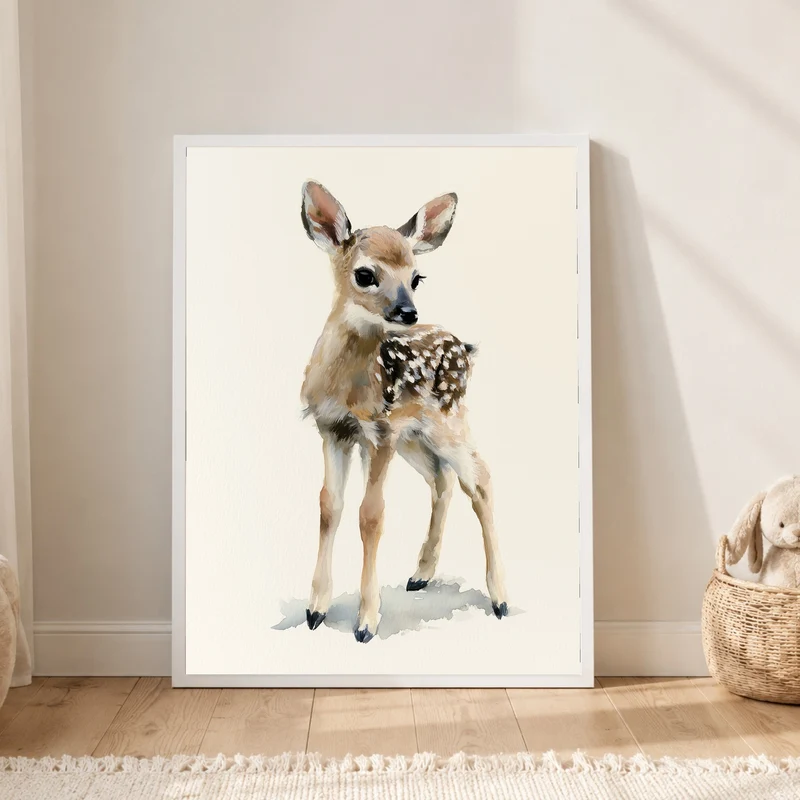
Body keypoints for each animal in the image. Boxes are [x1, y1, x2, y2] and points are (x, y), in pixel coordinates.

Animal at [300, 180, 507, 643]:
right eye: (365, 274)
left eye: (416, 277)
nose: (408, 312)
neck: (347, 387)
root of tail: (465, 348)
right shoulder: (332, 430)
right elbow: (328, 507)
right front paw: (315, 609)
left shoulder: (378, 433)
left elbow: (370, 516)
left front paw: (366, 622)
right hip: (414, 437)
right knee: (441, 480)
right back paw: (421, 573)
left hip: (447, 421)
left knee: (480, 480)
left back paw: (500, 598)